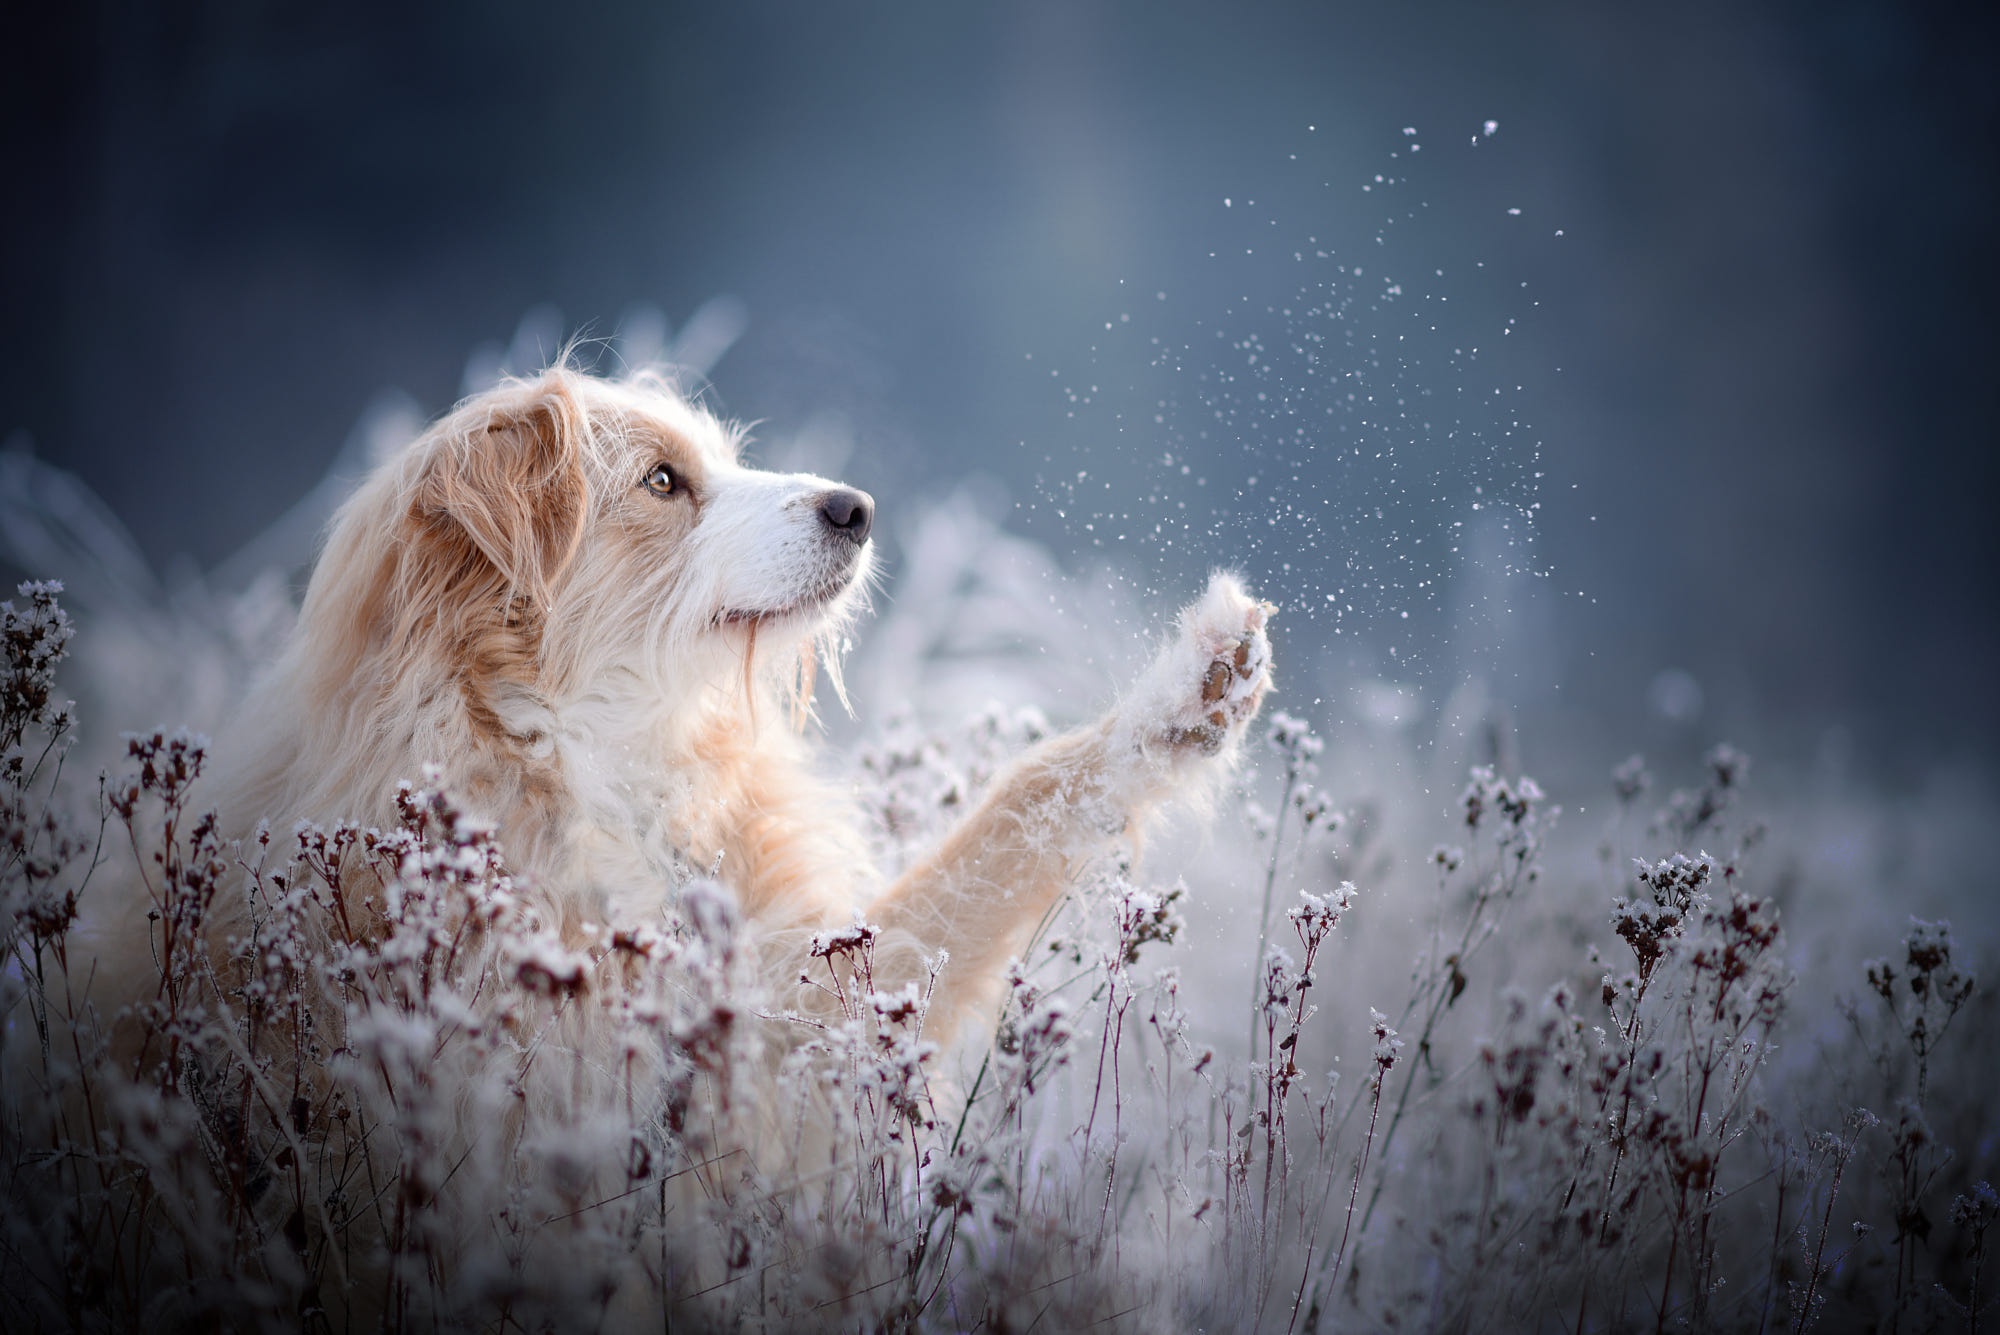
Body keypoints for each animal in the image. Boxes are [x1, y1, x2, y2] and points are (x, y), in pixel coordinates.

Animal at [207, 357, 1264, 1055]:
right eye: (661, 479)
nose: (857, 507)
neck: (598, 765)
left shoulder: (810, 1012)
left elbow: (1015, 818)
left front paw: (1184, 697)